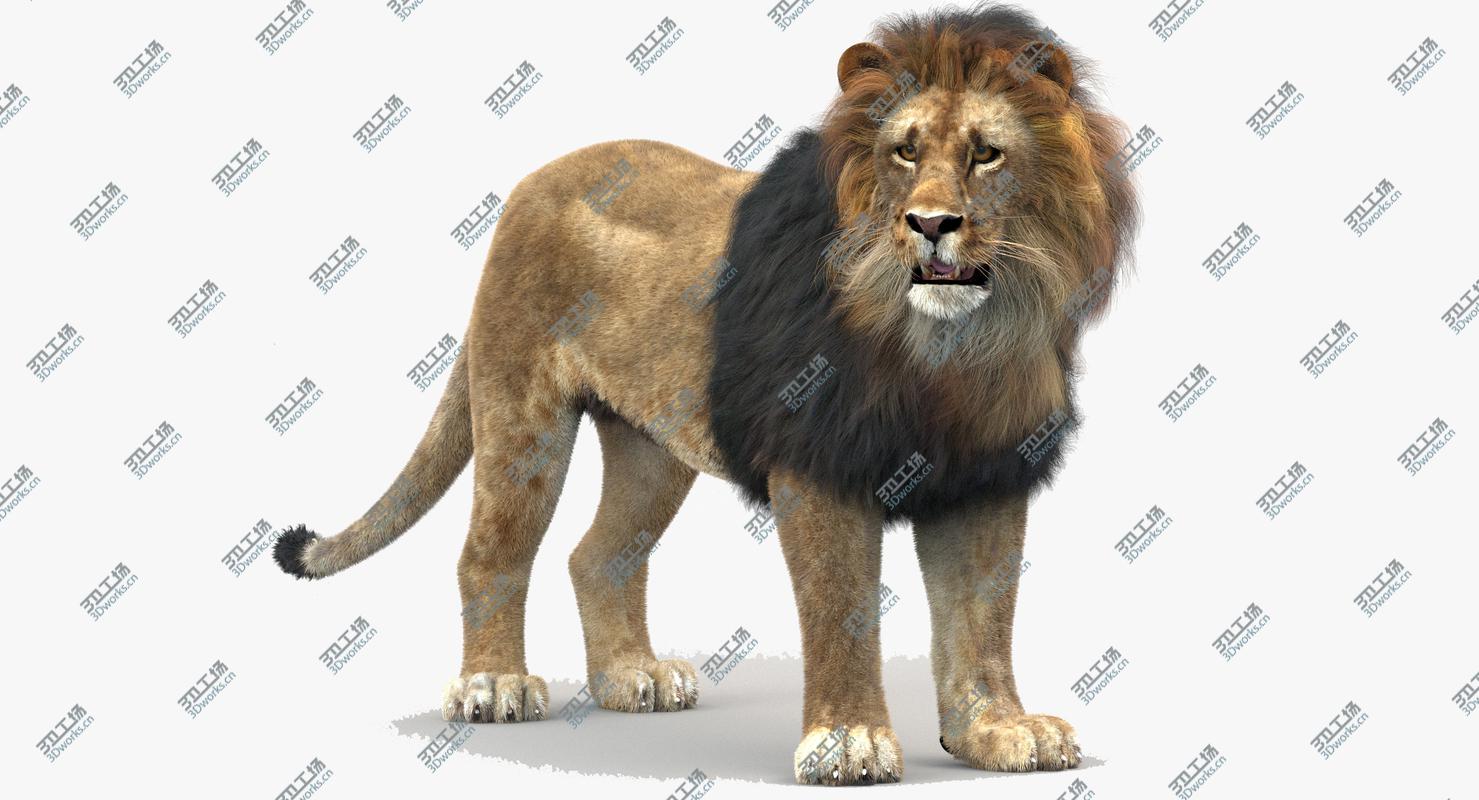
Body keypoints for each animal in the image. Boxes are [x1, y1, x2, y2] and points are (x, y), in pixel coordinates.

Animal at [273, 3, 1138, 785]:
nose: (929, 223)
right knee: (489, 552)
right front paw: (847, 742)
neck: (946, 348)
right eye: (903, 151)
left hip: (651, 443)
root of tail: (532, 181)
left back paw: (633, 678)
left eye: (987, 154)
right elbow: (841, 612)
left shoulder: (986, 472)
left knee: (598, 557)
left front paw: (996, 731)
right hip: (522, 415)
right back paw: (492, 685)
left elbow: (983, 619)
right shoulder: (816, 465)